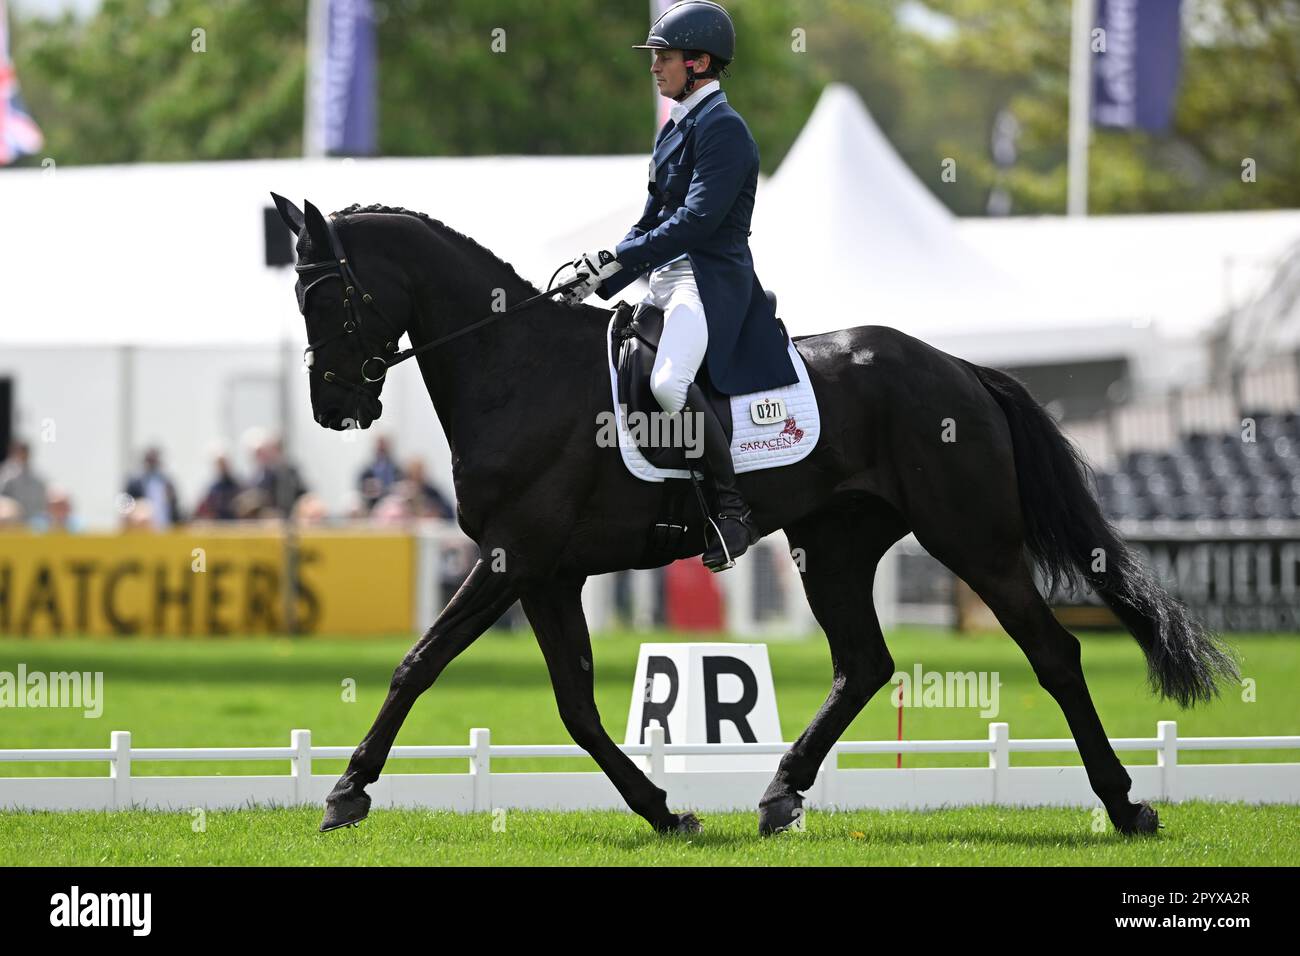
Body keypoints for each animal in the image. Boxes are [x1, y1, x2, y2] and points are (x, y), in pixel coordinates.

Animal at [269, 196, 1232, 837]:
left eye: (326, 297)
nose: (332, 410)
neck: (516, 366)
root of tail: (961, 368)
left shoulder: (513, 560)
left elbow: (417, 664)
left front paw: (346, 793)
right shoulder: (546, 574)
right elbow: (575, 706)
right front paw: (665, 811)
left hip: (972, 541)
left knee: (1053, 654)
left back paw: (1125, 804)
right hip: (832, 547)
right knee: (864, 664)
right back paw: (779, 794)